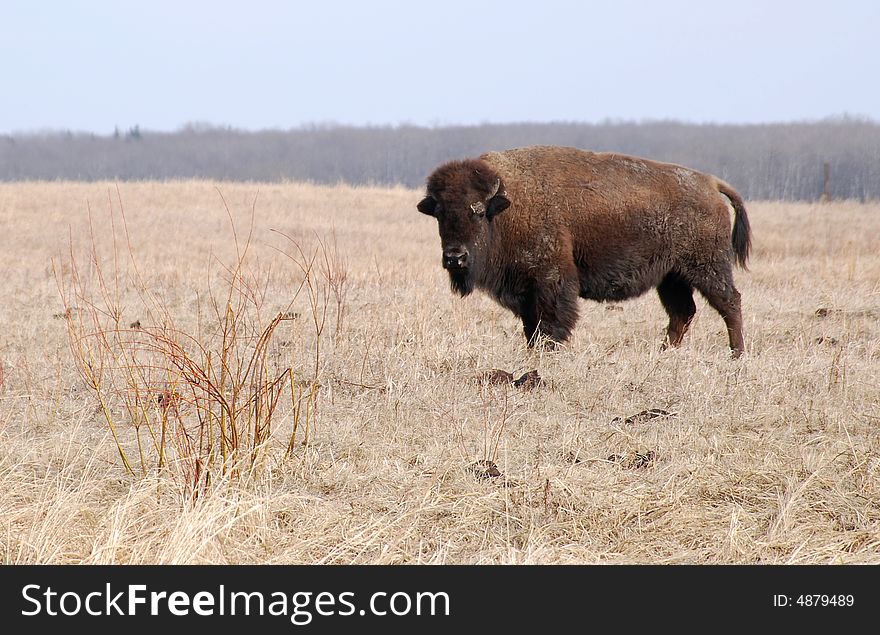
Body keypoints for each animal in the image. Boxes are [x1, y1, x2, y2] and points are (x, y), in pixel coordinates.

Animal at [418, 147, 748, 360]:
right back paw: (664, 354)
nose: (455, 257)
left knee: (729, 302)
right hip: (671, 276)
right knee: (682, 312)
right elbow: (531, 326)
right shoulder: (525, 291)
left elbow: (551, 321)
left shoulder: (550, 280)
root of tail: (710, 183)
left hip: (706, 267)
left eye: (477, 212)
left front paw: (548, 353)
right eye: (440, 213)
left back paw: (737, 355)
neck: (506, 207)